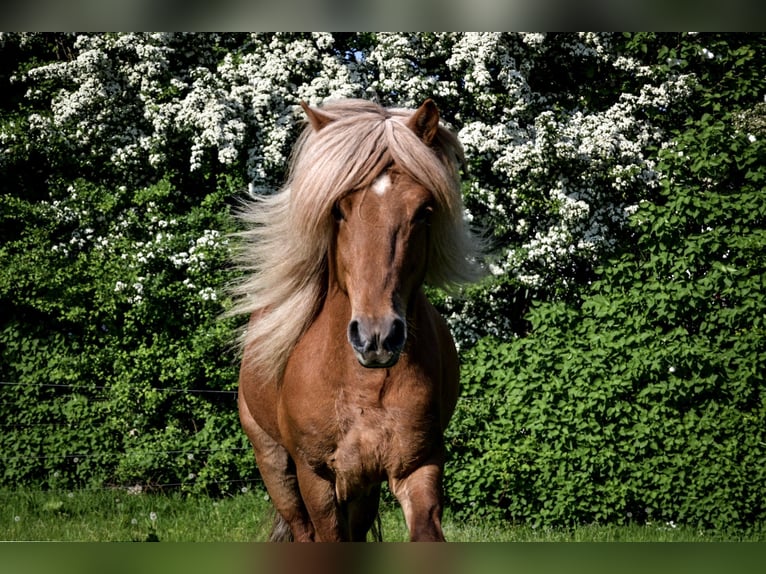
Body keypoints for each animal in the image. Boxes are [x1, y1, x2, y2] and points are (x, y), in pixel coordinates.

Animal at [234, 97, 484, 544]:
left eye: (424, 211)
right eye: (338, 209)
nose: (377, 338)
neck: (364, 388)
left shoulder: (418, 467)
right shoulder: (316, 479)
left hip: (362, 489)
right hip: (276, 466)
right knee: (301, 530)